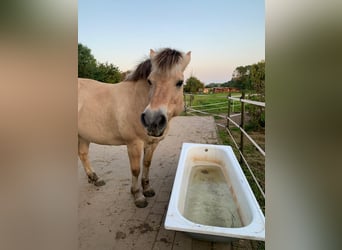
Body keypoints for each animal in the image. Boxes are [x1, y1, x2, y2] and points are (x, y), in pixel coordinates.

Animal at [77, 47, 191, 208]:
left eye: (180, 82)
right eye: (150, 81)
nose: (152, 120)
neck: (138, 100)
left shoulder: (152, 143)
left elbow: (147, 164)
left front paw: (147, 189)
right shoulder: (134, 143)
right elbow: (136, 169)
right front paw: (137, 195)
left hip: (83, 135)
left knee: (83, 154)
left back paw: (94, 178)